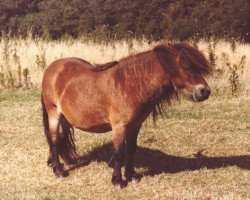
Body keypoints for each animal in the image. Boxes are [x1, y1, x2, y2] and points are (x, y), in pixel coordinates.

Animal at [42, 42, 212, 188]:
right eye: (187, 67)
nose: (205, 91)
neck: (130, 85)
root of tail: (52, 68)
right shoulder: (119, 126)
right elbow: (119, 152)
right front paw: (117, 180)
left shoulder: (135, 125)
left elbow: (131, 149)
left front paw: (131, 175)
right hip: (54, 113)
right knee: (54, 139)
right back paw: (59, 171)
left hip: (65, 118)